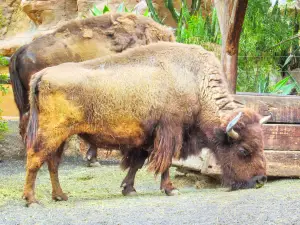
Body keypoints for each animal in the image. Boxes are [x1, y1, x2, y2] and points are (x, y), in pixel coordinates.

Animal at [23, 41, 270, 206]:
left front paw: (128, 189)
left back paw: (60, 196)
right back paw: (32, 199)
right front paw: (170, 189)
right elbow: (165, 162)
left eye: (262, 145)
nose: (260, 180)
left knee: (52, 163)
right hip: (51, 133)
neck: (195, 83)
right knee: (35, 158)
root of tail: (42, 75)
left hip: (62, 137)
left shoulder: (146, 138)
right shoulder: (170, 132)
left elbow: (137, 163)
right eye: (244, 150)